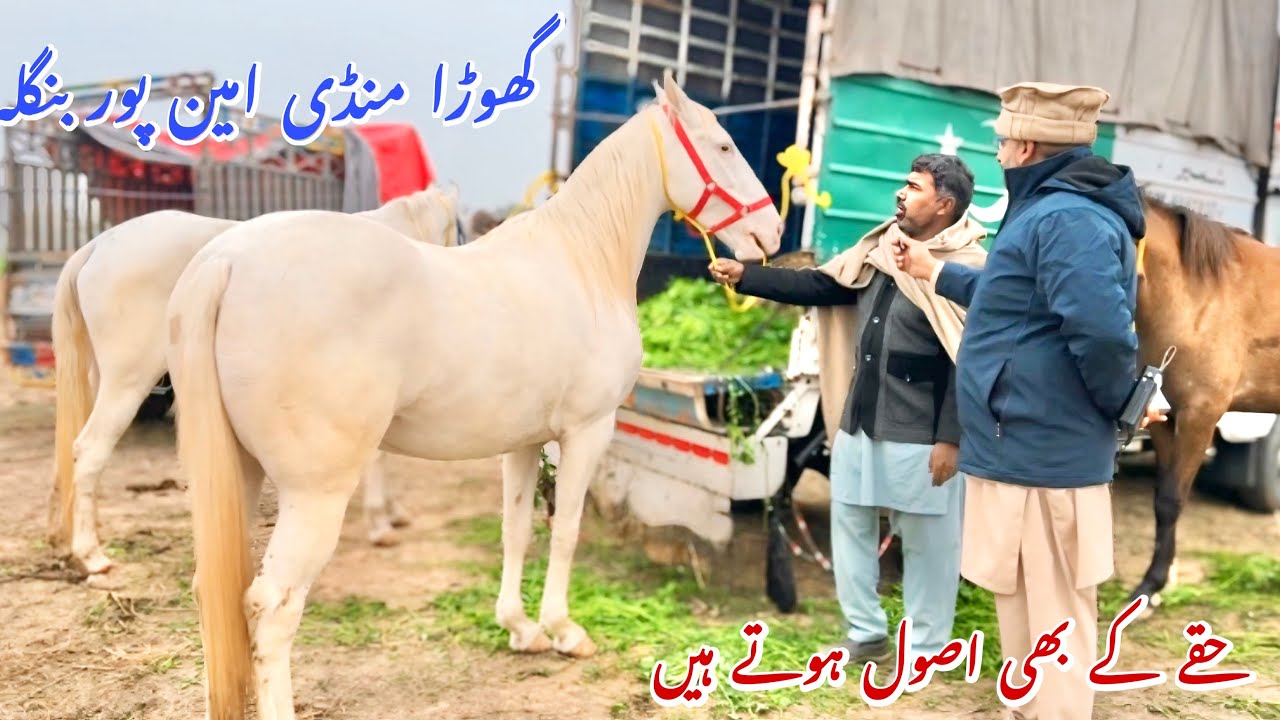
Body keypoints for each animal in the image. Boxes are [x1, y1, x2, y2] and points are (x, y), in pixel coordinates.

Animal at [165, 70, 781, 720]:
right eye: (723, 146)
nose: (771, 230)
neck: (581, 261)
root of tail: (227, 261)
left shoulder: (524, 443)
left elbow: (517, 530)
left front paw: (520, 628)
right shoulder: (586, 433)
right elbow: (567, 530)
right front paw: (564, 631)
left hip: (239, 471)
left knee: (215, 592)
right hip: (315, 494)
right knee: (274, 605)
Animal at [1128, 189, 1280, 603]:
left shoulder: (1201, 415)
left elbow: (1172, 499)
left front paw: (1151, 586)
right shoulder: (1165, 415)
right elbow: (1162, 500)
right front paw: (1158, 583)